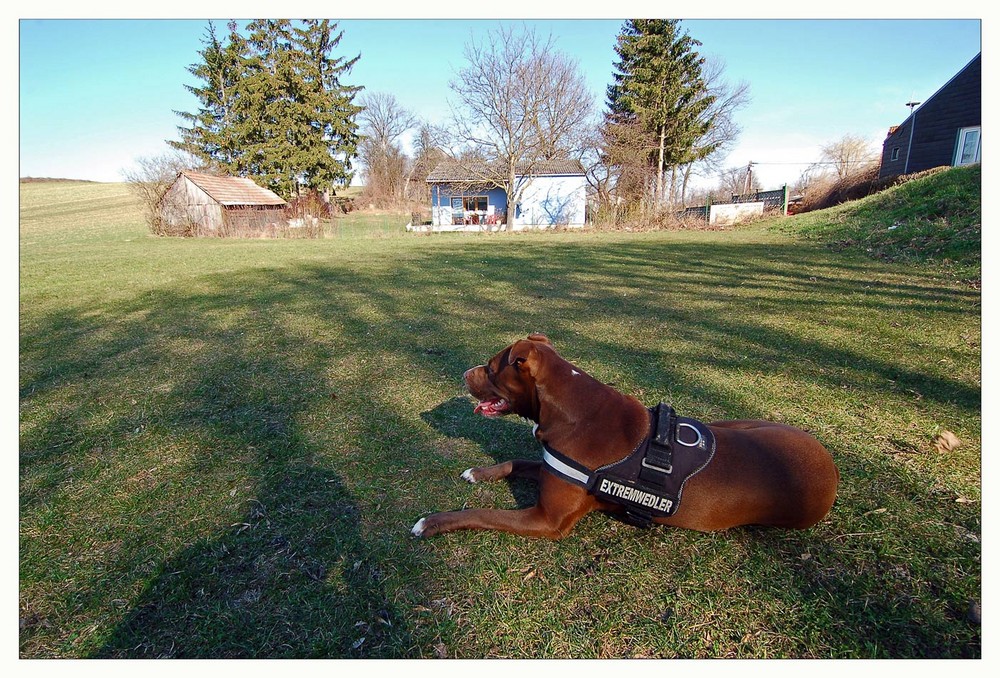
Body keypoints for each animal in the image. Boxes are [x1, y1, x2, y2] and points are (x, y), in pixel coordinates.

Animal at [410, 336, 840, 540]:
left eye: (489, 368)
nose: (463, 374)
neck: (571, 406)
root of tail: (831, 465)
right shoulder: (550, 467)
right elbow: (517, 461)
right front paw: (480, 473)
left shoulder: (547, 520)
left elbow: (481, 513)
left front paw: (433, 521)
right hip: (737, 423)